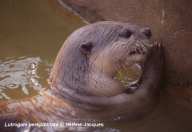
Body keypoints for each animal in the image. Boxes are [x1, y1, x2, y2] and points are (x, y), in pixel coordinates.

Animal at [0, 21, 165, 131]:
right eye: (126, 33)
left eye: (126, 22)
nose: (148, 31)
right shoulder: (114, 104)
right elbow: (147, 94)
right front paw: (155, 54)